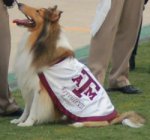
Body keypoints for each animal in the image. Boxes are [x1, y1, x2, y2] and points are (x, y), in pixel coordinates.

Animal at [11, 3, 145, 128]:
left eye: (38, 11)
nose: (19, 4)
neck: (41, 40)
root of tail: (115, 116)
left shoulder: (39, 87)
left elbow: (33, 109)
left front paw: (27, 123)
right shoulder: (29, 84)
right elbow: (27, 107)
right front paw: (19, 120)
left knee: (102, 122)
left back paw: (78, 123)